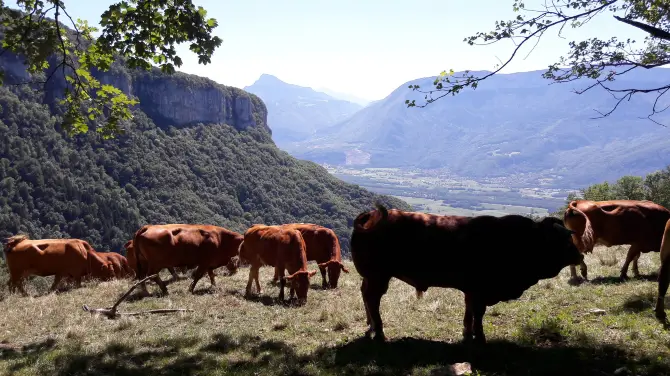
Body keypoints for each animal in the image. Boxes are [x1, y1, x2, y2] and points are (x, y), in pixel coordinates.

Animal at [352, 206, 584, 344]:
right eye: (565, 240)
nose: (579, 254)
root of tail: (371, 215)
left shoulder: (471, 290)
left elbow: (469, 312)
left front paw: (467, 333)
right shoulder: (481, 289)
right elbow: (478, 313)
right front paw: (479, 337)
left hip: (371, 277)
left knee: (365, 296)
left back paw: (370, 328)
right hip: (378, 276)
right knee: (373, 300)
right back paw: (379, 332)